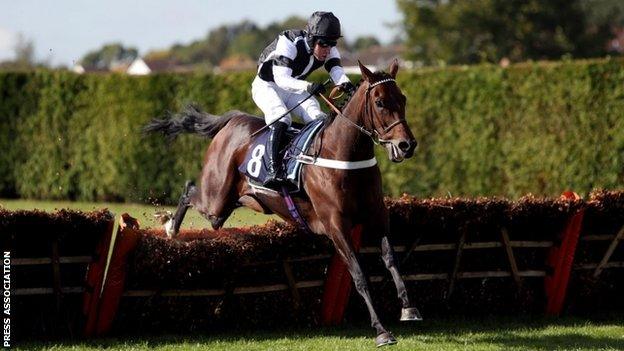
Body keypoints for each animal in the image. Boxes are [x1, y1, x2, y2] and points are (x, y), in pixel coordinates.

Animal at [144, 59, 420, 346]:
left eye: (403, 98)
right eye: (380, 102)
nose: (407, 145)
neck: (342, 154)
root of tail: (232, 121)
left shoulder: (377, 215)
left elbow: (391, 259)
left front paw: (408, 308)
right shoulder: (336, 225)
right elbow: (359, 274)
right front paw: (381, 330)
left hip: (236, 202)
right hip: (215, 200)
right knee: (190, 190)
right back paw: (170, 226)